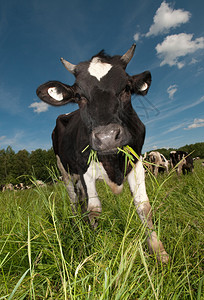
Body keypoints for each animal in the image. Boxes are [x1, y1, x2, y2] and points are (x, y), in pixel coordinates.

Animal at [36, 44, 169, 262]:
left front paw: (158, 251)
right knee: (74, 201)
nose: (107, 137)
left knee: (81, 199)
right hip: (64, 171)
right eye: (79, 96)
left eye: (126, 88)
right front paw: (94, 250)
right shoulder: (84, 168)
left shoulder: (136, 161)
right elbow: (95, 209)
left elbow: (143, 206)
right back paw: (76, 226)